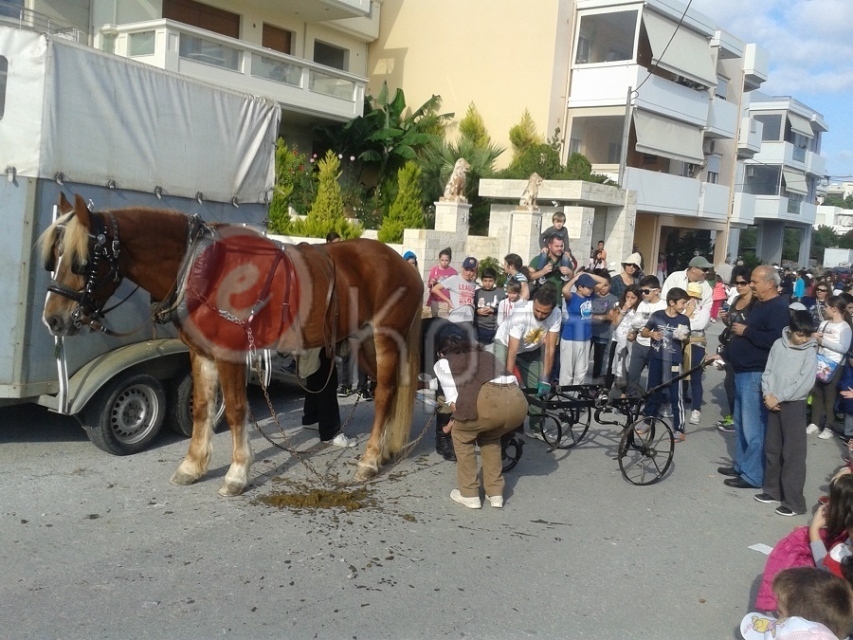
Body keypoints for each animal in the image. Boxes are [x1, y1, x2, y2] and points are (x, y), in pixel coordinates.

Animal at [40, 194, 422, 496]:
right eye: (53, 257)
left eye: (82, 261)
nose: (53, 320)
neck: (203, 269)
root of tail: (403, 265)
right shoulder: (201, 354)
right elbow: (202, 408)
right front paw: (192, 466)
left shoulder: (230, 354)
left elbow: (237, 410)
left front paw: (238, 473)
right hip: (364, 344)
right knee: (388, 392)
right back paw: (384, 450)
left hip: (385, 338)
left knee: (384, 394)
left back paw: (369, 461)